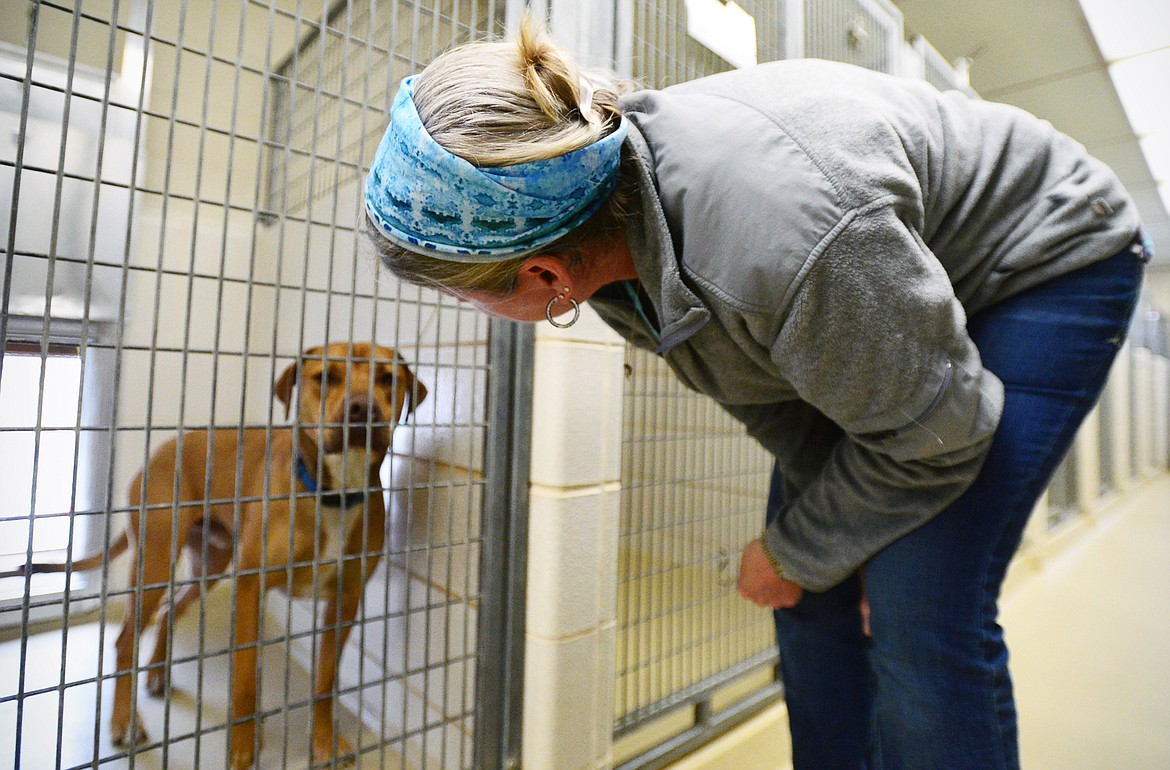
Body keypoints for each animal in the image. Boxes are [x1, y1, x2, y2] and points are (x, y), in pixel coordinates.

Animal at [5, 344, 425, 767]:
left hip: (209, 568)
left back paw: (156, 675)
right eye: (325, 377)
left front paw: (324, 742)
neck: (334, 493)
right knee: (125, 641)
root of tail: (162, 449)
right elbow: (245, 681)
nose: (363, 409)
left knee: (170, 610)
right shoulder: (249, 587)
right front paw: (242, 748)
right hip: (156, 563)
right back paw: (124, 721)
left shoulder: (345, 601)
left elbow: (324, 682)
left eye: (388, 379)